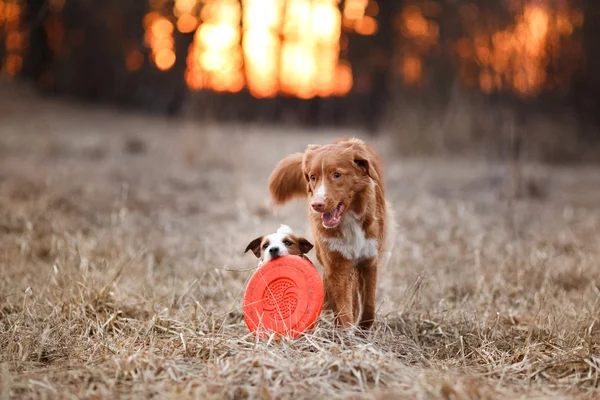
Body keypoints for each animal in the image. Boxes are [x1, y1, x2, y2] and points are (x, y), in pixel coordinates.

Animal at [268, 138, 390, 328]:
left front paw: (363, 328)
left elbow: (369, 306)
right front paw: (346, 331)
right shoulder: (336, 265)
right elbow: (343, 308)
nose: (316, 205)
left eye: (337, 175)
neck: (348, 220)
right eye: (313, 177)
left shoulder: (369, 260)